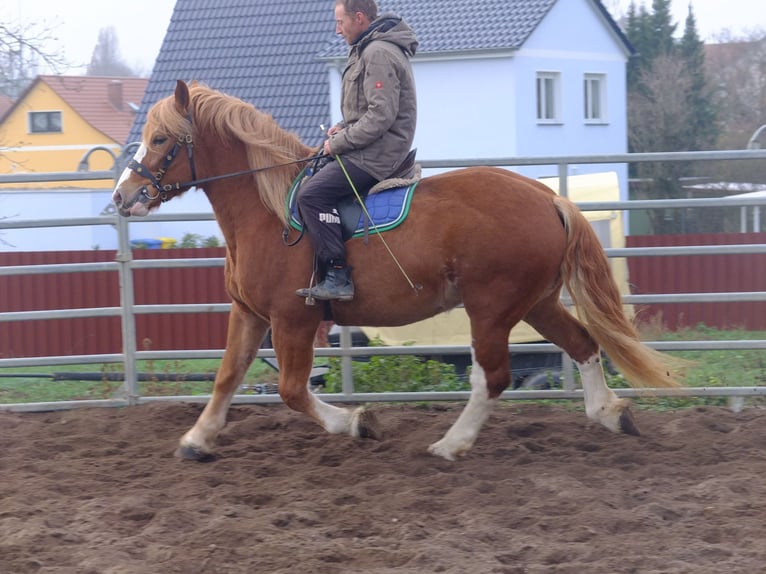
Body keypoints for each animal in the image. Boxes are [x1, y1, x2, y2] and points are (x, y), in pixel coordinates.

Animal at [111, 80, 680, 464]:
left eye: (160, 140)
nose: (122, 196)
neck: (269, 212)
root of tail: (547, 197)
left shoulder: (293, 319)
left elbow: (292, 391)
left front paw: (357, 422)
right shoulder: (250, 313)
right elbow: (228, 376)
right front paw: (197, 440)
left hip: (491, 309)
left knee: (492, 376)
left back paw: (451, 444)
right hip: (534, 303)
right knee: (583, 344)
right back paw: (610, 413)